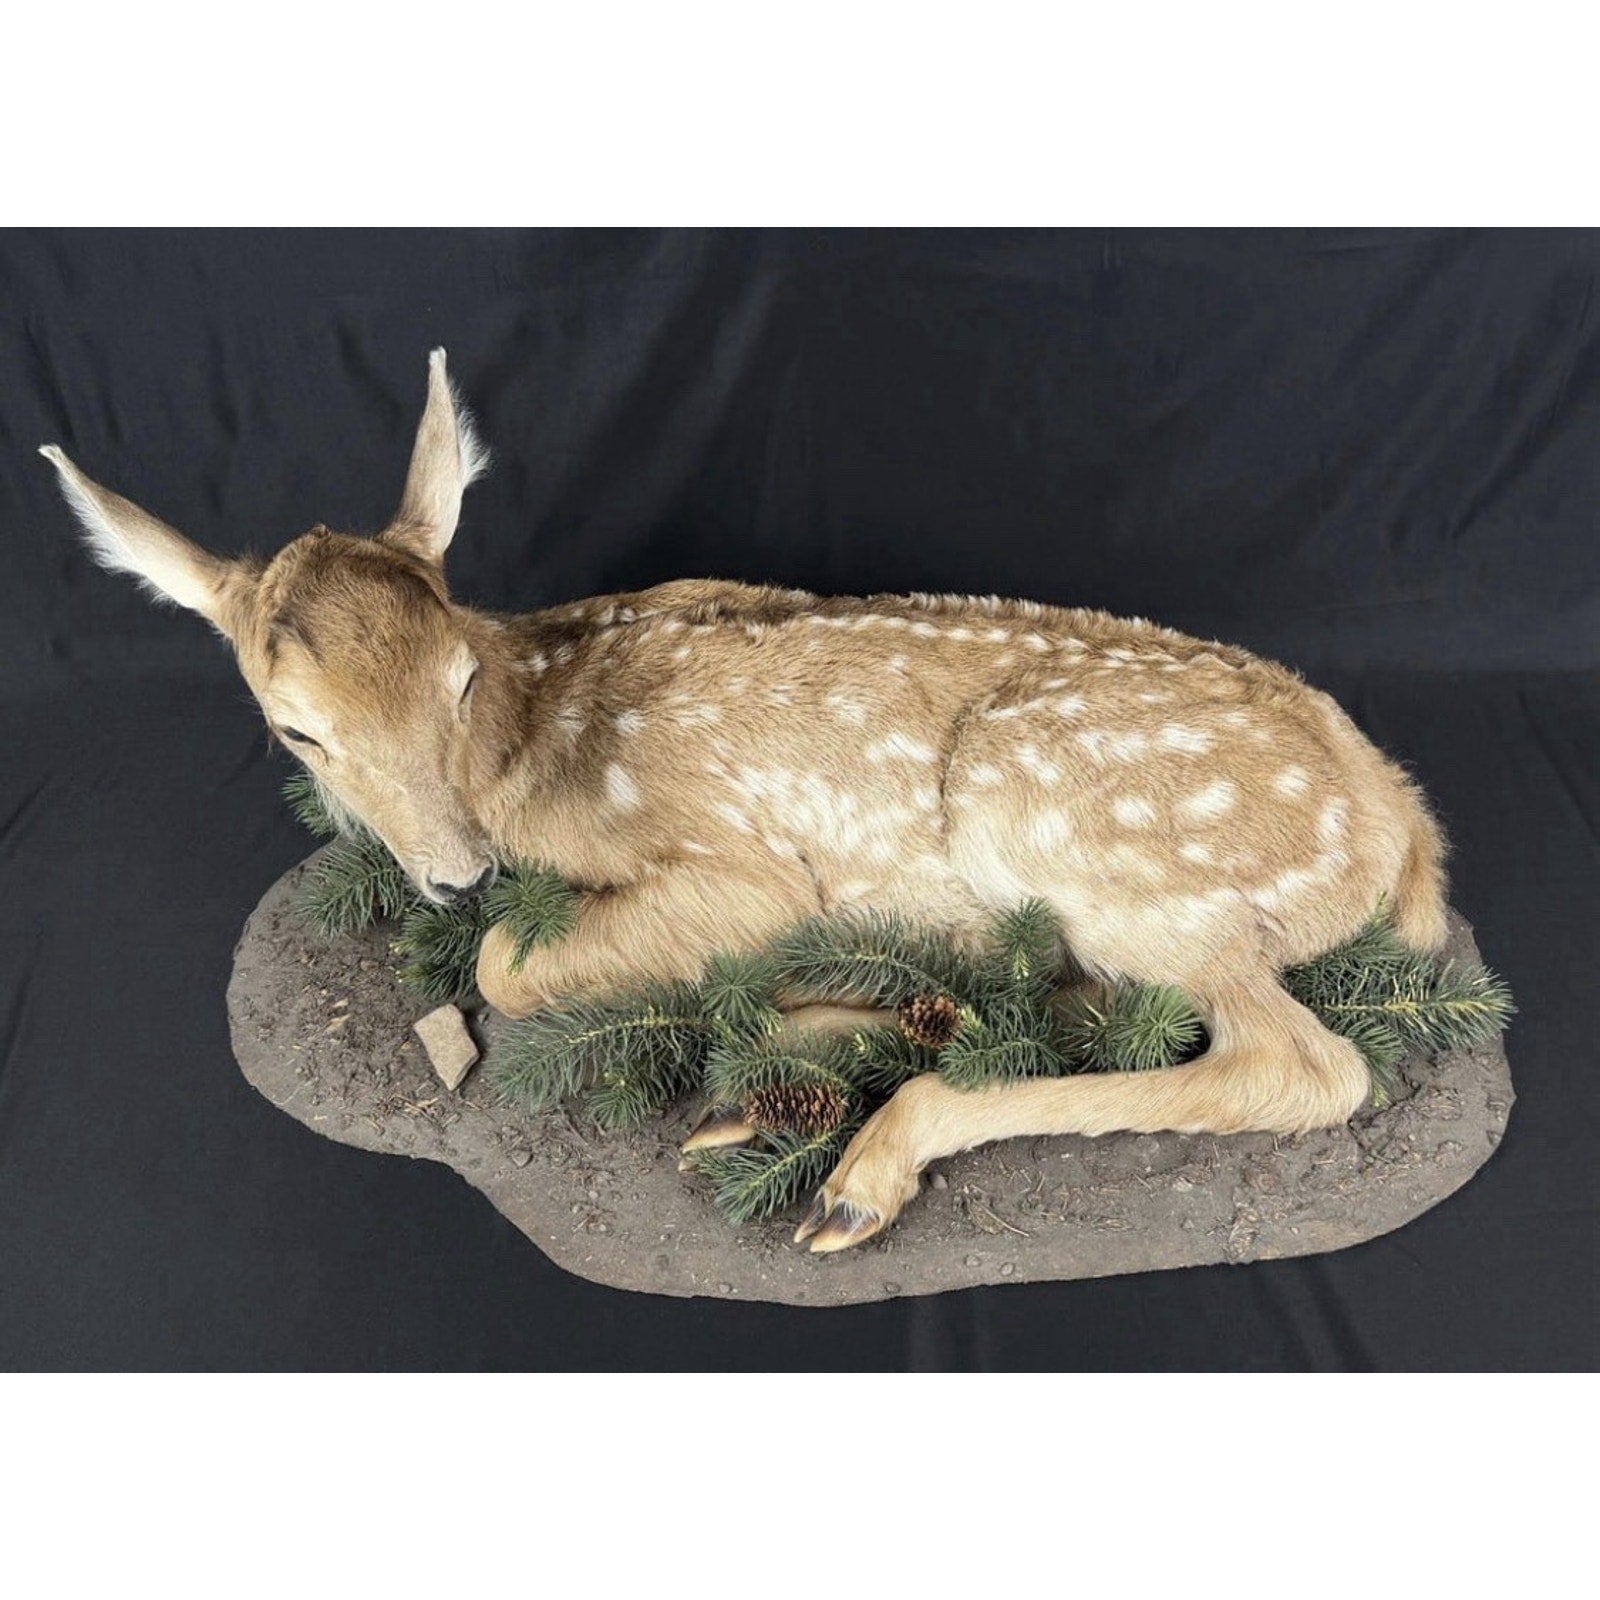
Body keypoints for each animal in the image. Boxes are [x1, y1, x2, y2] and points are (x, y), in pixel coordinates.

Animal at [40, 349, 1451, 1254]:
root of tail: (1395, 822)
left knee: (1296, 1064)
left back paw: (856, 1156)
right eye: (299, 731)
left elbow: (502, 967)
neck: (533, 737)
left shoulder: (743, 861)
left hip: (1076, 828)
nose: (456, 870)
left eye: (456, 681)